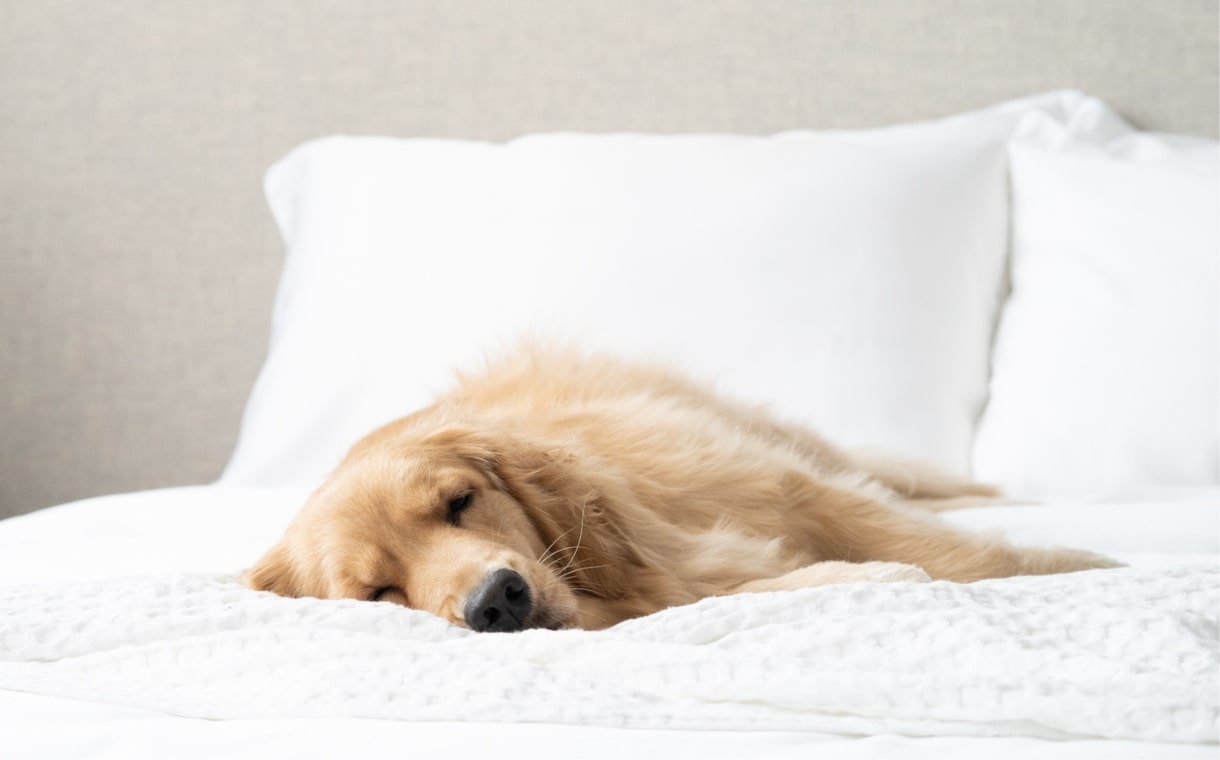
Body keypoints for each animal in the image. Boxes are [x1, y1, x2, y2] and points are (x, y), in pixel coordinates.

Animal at [242, 344, 1117, 629]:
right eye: (378, 593)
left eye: (459, 503)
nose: (496, 603)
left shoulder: (792, 487)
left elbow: (969, 555)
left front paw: (1095, 568)